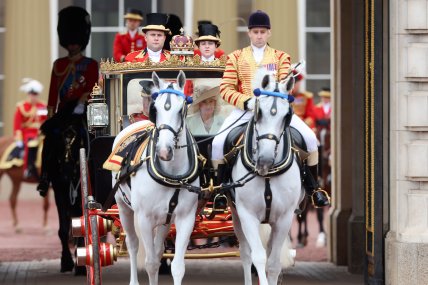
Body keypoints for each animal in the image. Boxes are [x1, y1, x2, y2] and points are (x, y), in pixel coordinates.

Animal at [38, 101, 89, 274]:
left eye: (78, 139)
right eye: (58, 139)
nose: (66, 174)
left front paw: (81, 265)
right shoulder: (59, 190)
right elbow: (64, 228)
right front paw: (66, 261)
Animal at [113, 69, 201, 284]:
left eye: (181, 109)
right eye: (156, 109)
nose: (163, 151)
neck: (171, 175)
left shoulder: (185, 218)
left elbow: (177, 266)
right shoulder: (144, 218)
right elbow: (151, 263)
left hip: (165, 219)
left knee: (159, 248)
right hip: (123, 207)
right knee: (133, 244)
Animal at [231, 71, 304, 284]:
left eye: (287, 115)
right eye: (259, 112)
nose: (264, 160)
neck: (268, 175)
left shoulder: (284, 218)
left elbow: (273, 263)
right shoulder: (246, 214)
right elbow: (258, 257)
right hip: (236, 214)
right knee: (246, 254)